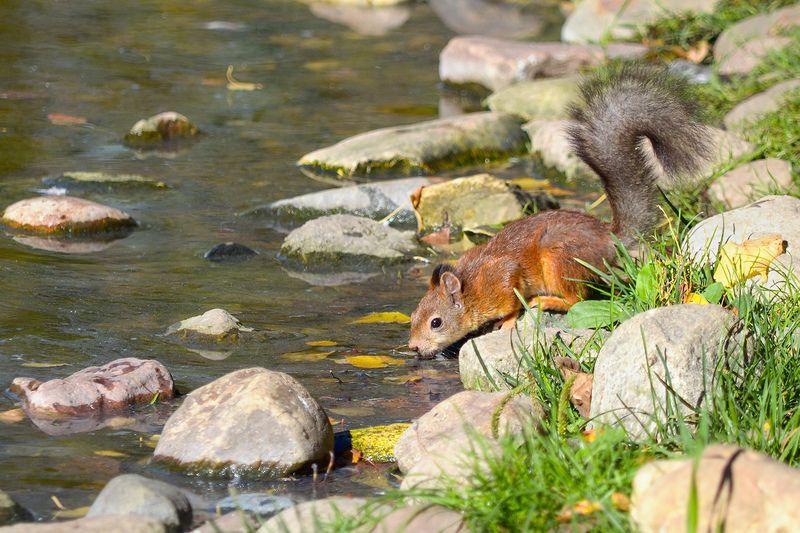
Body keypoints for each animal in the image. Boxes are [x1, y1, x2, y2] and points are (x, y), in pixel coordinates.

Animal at [408, 65, 711, 359]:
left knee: (575, 300)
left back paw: (545, 300)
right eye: (413, 315)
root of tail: (609, 240)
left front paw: (506, 321)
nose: (413, 348)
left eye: (436, 322)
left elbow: (511, 299)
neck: (471, 286)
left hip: (558, 258)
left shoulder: (502, 278)